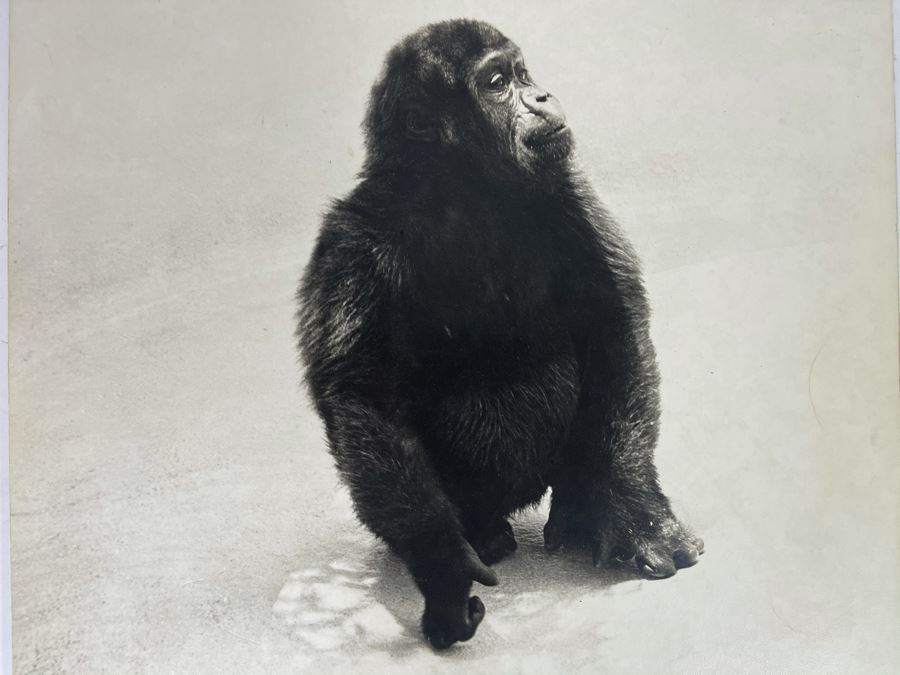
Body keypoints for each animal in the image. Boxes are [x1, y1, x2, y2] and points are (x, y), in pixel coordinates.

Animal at [296, 19, 703, 650]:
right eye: (495, 83)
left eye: (522, 73)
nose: (540, 95)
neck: (465, 192)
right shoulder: (353, 245)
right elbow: (366, 397)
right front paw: (444, 568)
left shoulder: (570, 195)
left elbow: (613, 324)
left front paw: (636, 514)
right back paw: (481, 533)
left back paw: (579, 508)